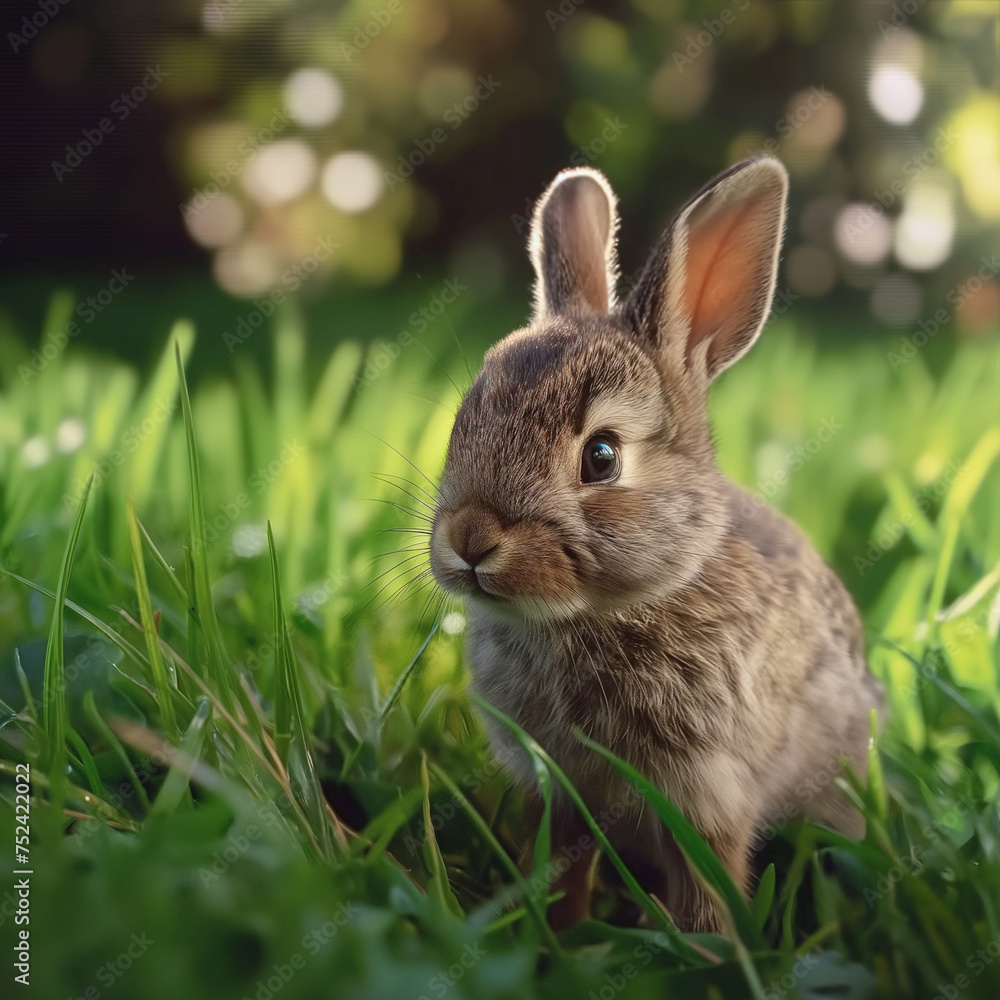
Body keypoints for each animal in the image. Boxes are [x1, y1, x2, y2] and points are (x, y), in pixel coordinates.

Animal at [428, 156, 885, 933]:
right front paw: (558, 934)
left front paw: (708, 949)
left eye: (602, 457)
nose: (470, 540)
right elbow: (563, 864)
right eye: (467, 419)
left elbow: (708, 885)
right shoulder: (559, 789)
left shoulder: (707, 789)